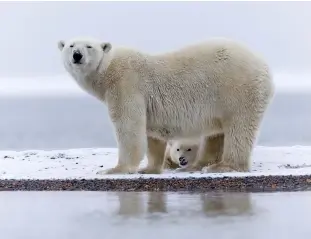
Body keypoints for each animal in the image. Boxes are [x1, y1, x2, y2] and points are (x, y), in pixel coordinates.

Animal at [58, 37, 276, 176]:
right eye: (70, 45)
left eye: (89, 46)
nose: (77, 55)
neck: (109, 70)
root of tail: (265, 66)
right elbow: (151, 135)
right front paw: (149, 169)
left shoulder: (126, 84)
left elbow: (128, 127)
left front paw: (115, 169)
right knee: (216, 133)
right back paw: (197, 165)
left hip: (237, 88)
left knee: (239, 128)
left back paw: (224, 166)